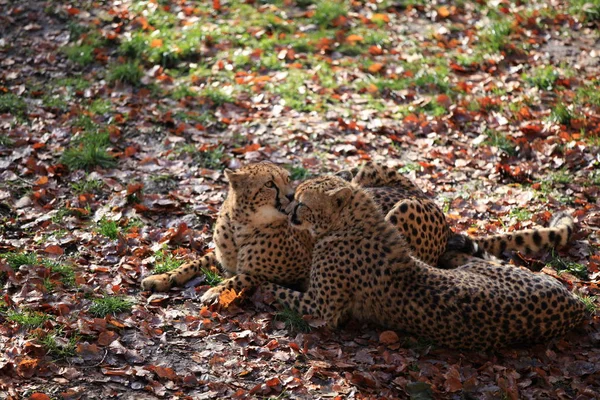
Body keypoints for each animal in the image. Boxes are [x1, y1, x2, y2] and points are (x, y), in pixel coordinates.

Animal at [264, 177, 588, 350]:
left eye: (303, 202)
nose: (288, 209)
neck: (351, 224)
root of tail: (576, 305)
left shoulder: (322, 310)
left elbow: (278, 290)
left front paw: (262, 289)